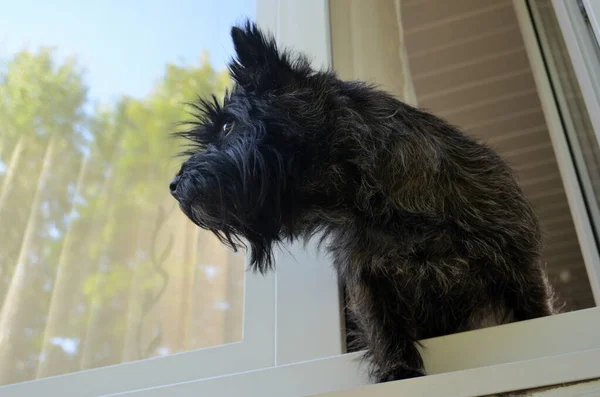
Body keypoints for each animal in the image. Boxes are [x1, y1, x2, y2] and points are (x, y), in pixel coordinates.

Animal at [168, 20, 552, 380]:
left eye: (227, 126)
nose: (174, 185)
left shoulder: (519, 267)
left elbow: (534, 313)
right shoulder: (370, 279)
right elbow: (385, 329)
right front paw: (400, 373)